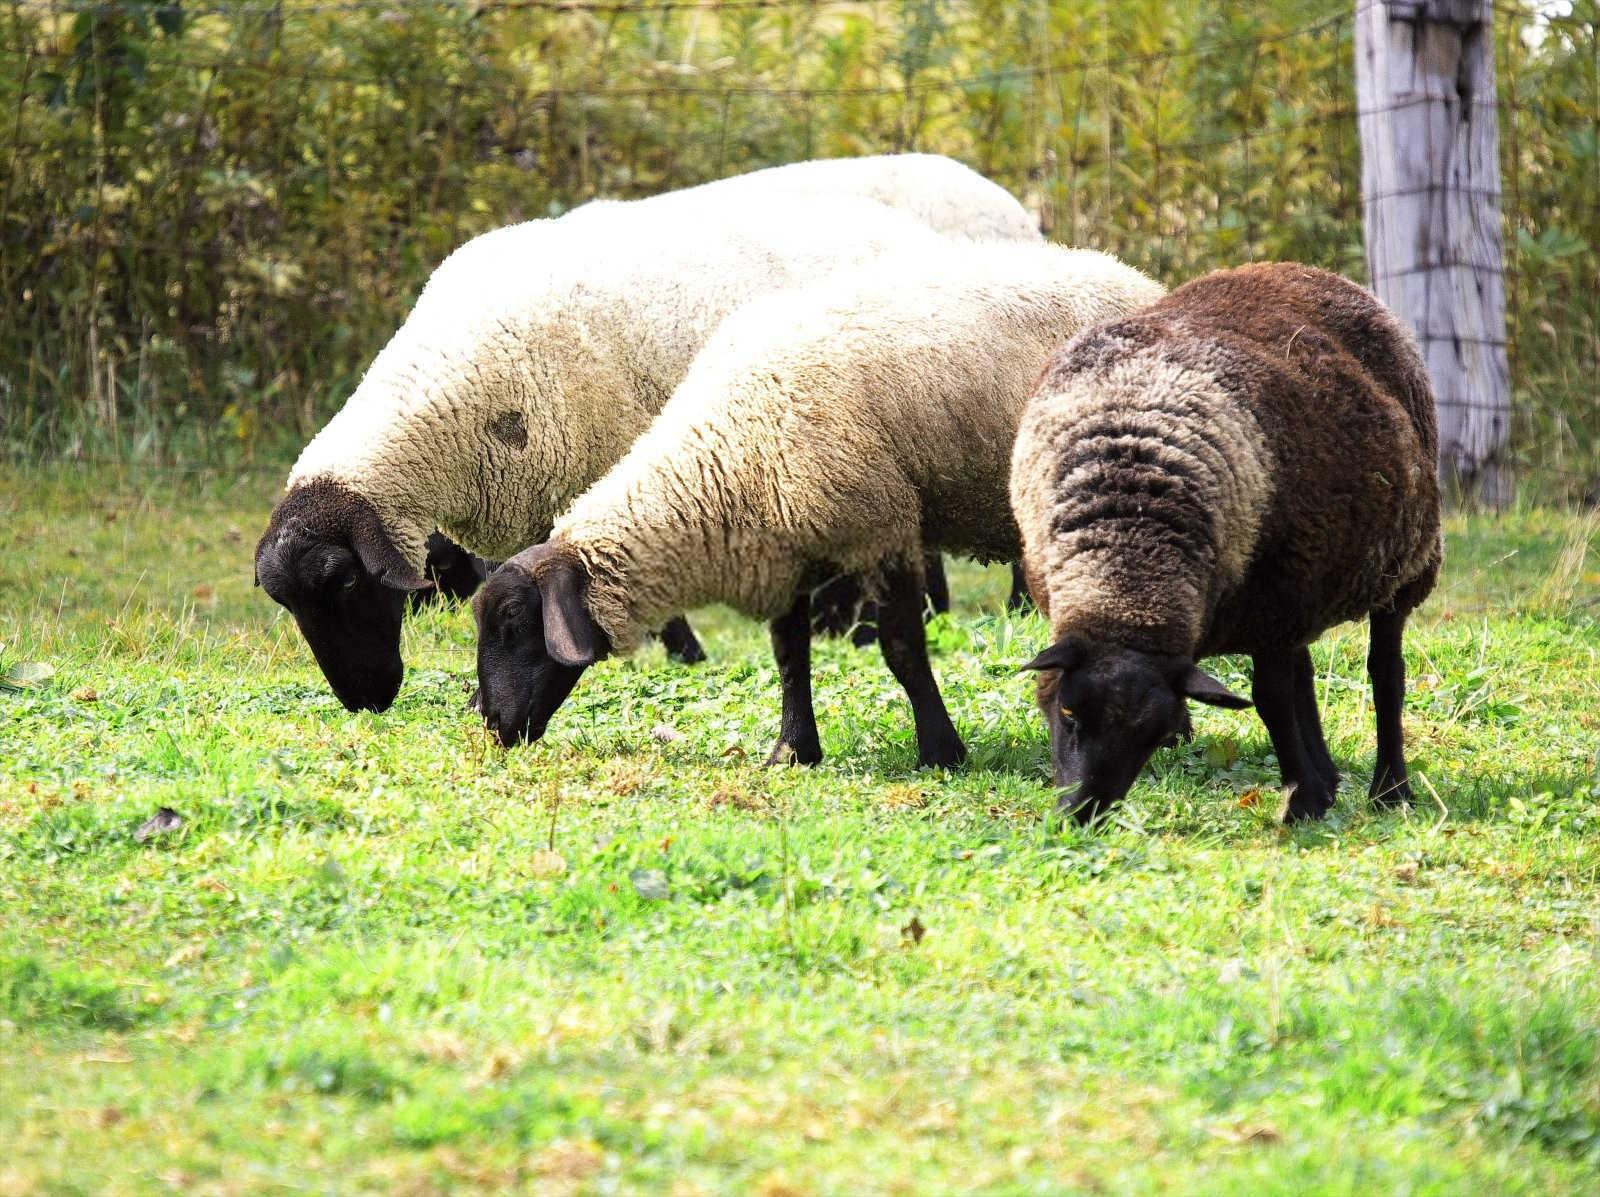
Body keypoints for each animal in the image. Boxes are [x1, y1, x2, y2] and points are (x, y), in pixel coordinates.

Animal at [467, 240, 1158, 771]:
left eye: (512, 622)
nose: (493, 725)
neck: (721, 453)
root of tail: (1130, 274)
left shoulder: (883, 531)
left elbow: (902, 651)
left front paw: (941, 751)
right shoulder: (784, 549)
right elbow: (790, 656)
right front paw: (793, 751)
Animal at [1011, 262, 1452, 825]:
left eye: (1156, 733)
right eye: (1067, 710)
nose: (1080, 814)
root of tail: (1306, 270)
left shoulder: (1278, 603)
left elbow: (1271, 700)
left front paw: (1302, 800)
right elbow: (1285, 692)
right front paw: (1312, 791)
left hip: (1401, 565)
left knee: (1385, 674)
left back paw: (1390, 789)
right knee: (1304, 673)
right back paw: (1330, 778)